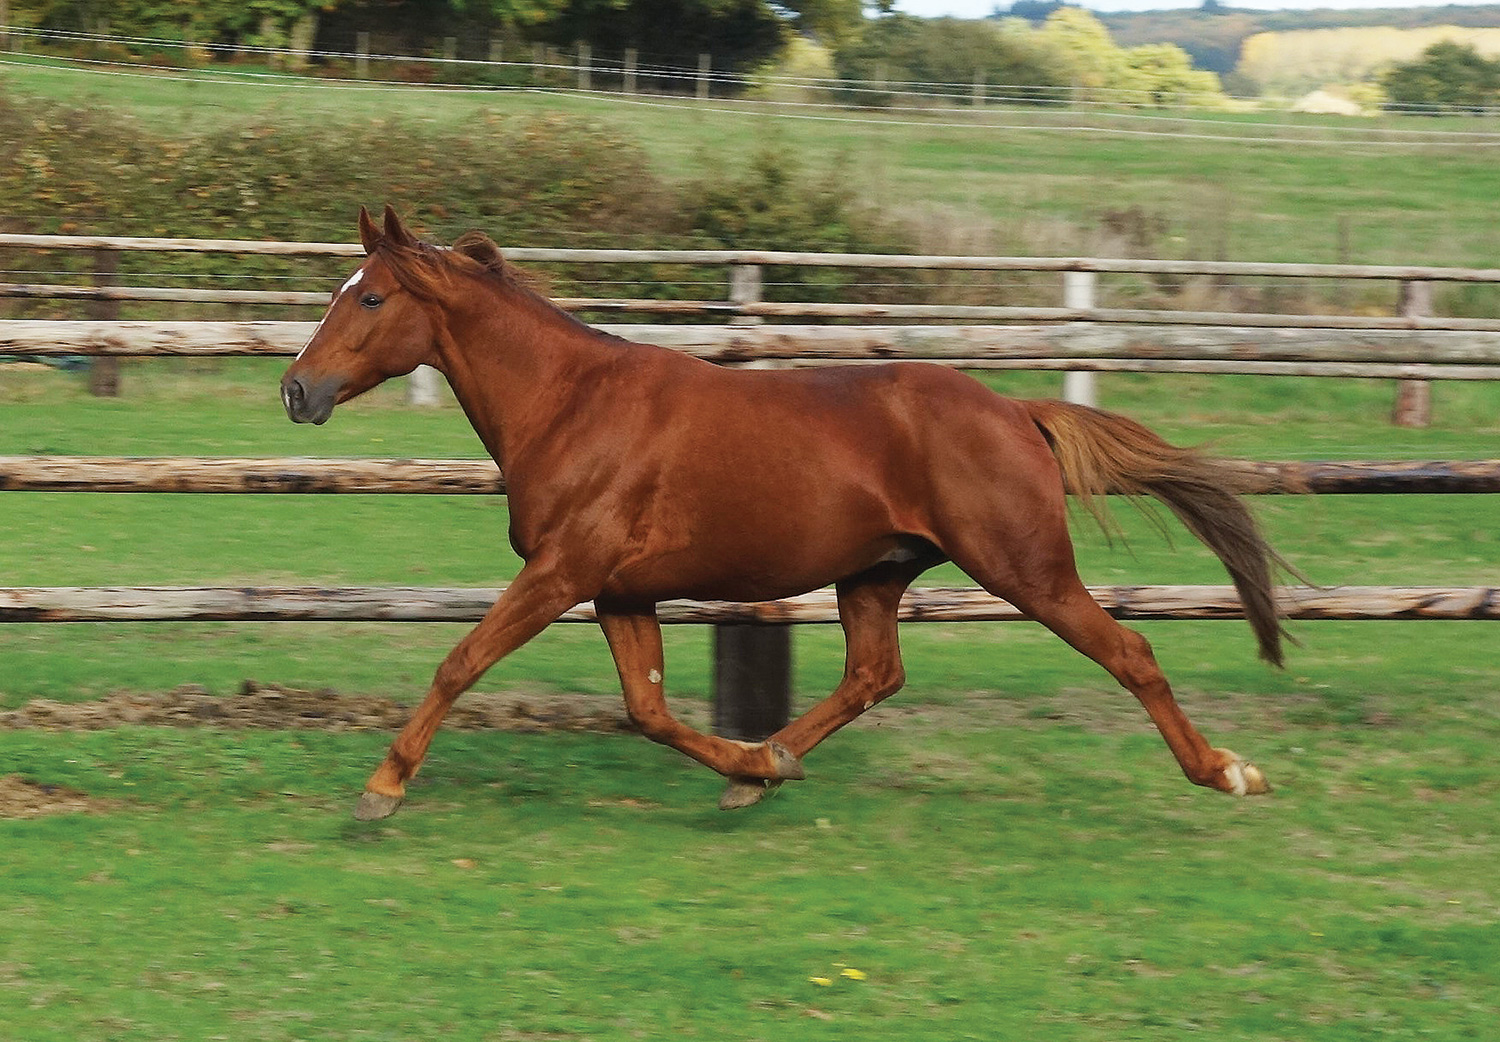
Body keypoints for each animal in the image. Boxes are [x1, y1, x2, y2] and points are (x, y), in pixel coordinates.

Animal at [279, 205, 1278, 821]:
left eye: (371, 296)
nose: (296, 390)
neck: (570, 405)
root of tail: (1014, 410)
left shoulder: (562, 571)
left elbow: (460, 662)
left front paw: (380, 789)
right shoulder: (618, 591)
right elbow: (646, 710)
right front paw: (751, 764)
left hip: (1022, 566)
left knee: (1129, 651)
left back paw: (1227, 771)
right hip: (875, 573)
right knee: (874, 674)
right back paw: (768, 769)